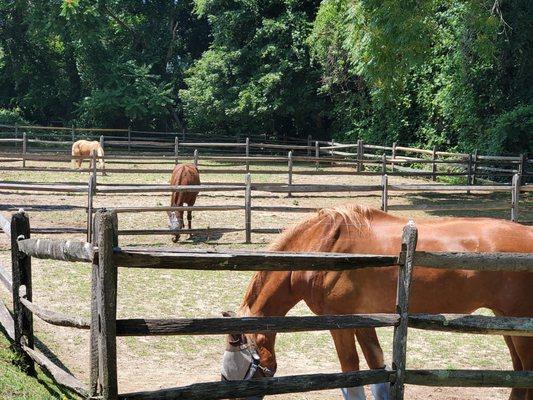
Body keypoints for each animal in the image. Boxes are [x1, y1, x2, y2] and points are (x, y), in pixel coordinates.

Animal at [220, 206, 532, 400]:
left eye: (241, 372)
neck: (324, 246)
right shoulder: (364, 321)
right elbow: (377, 372)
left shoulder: (341, 324)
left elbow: (351, 375)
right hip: (507, 325)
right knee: (518, 378)